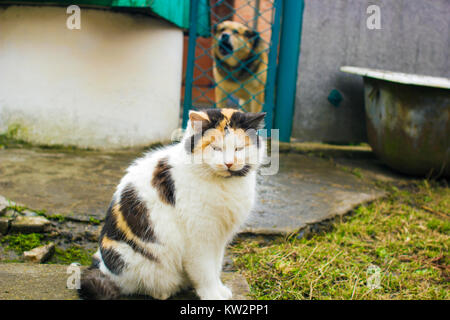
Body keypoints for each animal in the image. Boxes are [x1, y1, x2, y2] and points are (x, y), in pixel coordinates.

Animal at [78, 108, 266, 300]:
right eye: (216, 148)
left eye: (239, 148)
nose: (229, 163)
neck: (224, 185)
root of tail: (102, 266)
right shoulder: (200, 238)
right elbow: (205, 272)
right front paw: (212, 294)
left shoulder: (219, 238)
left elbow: (216, 266)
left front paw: (220, 290)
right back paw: (165, 291)